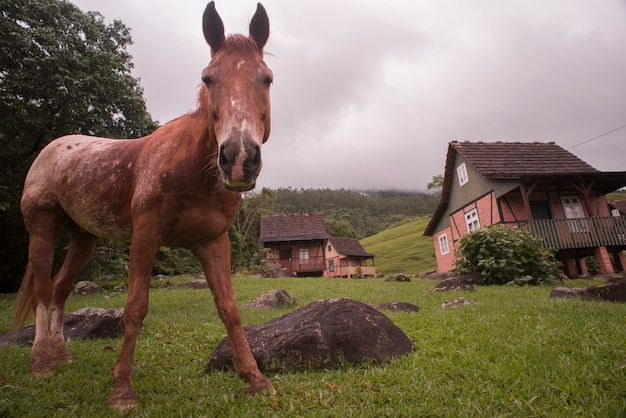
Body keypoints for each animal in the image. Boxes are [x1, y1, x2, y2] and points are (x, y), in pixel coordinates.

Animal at [11, 1, 274, 410]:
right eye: (208, 78)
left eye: (266, 79)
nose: (239, 158)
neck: (191, 168)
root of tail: (54, 148)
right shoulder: (145, 236)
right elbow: (135, 307)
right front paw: (122, 389)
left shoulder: (213, 242)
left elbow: (229, 309)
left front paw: (255, 379)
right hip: (41, 226)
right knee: (41, 289)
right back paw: (42, 362)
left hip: (83, 239)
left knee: (59, 288)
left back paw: (61, 353)